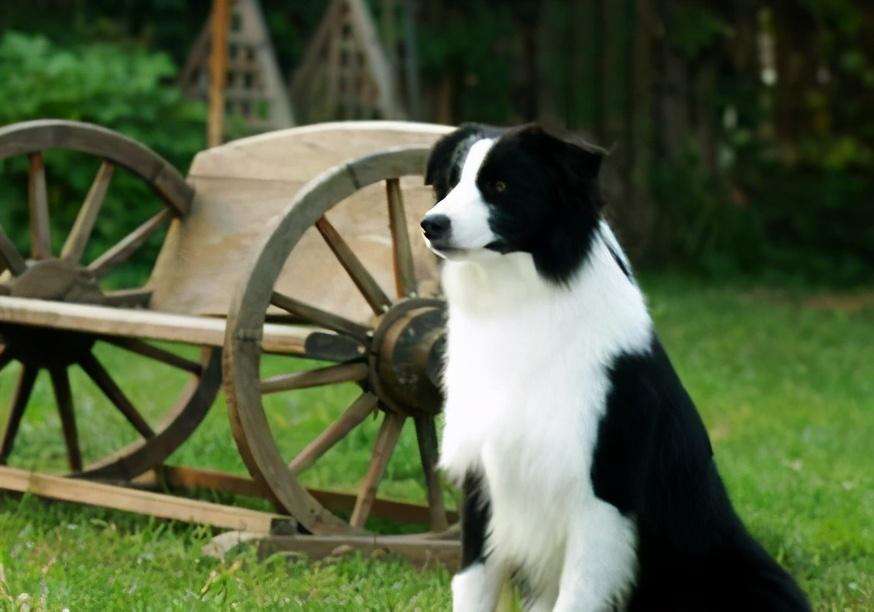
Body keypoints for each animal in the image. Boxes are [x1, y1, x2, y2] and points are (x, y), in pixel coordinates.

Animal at [418, 125, 808, 612]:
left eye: (500, 186)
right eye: (451, 183)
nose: (431, 223)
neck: (520, 307)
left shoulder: (601, 491)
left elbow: (577, 594)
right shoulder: (483, 475)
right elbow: (471, 583)